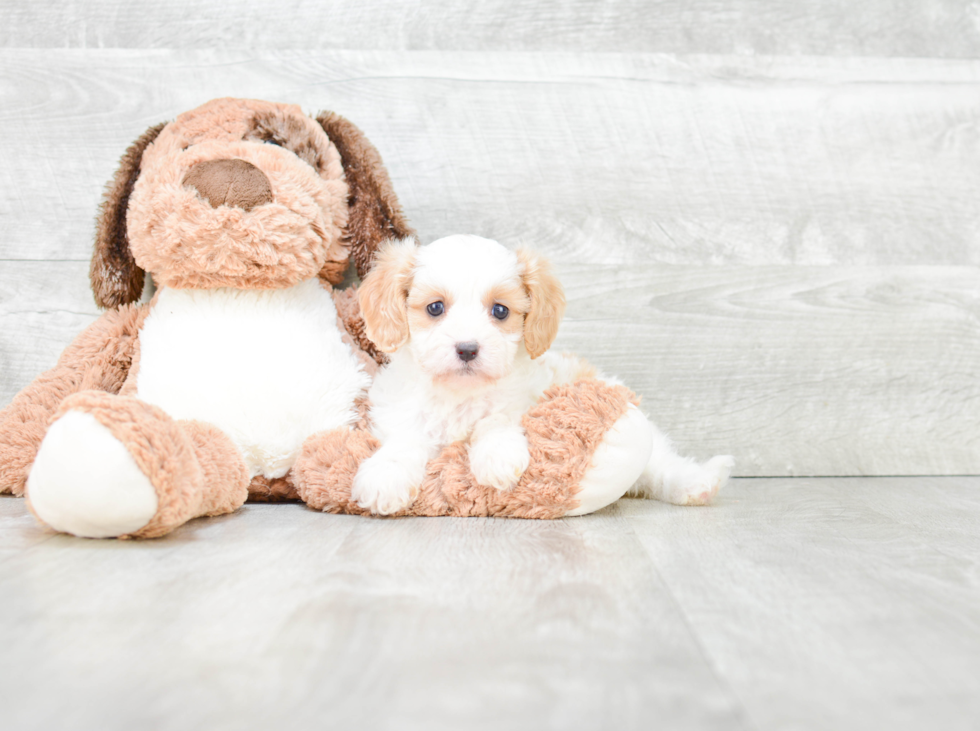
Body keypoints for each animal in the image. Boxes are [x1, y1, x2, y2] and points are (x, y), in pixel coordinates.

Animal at [354, 234, 736, 516]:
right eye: (435, 308)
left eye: (500, 311)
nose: (467, 348)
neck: (460, 394)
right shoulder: (400, 413)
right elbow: (405, 440)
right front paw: (385, 477)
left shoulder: (524, 400)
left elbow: (496, 418)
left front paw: (498, 456)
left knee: (661, 466)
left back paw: (699, 484)